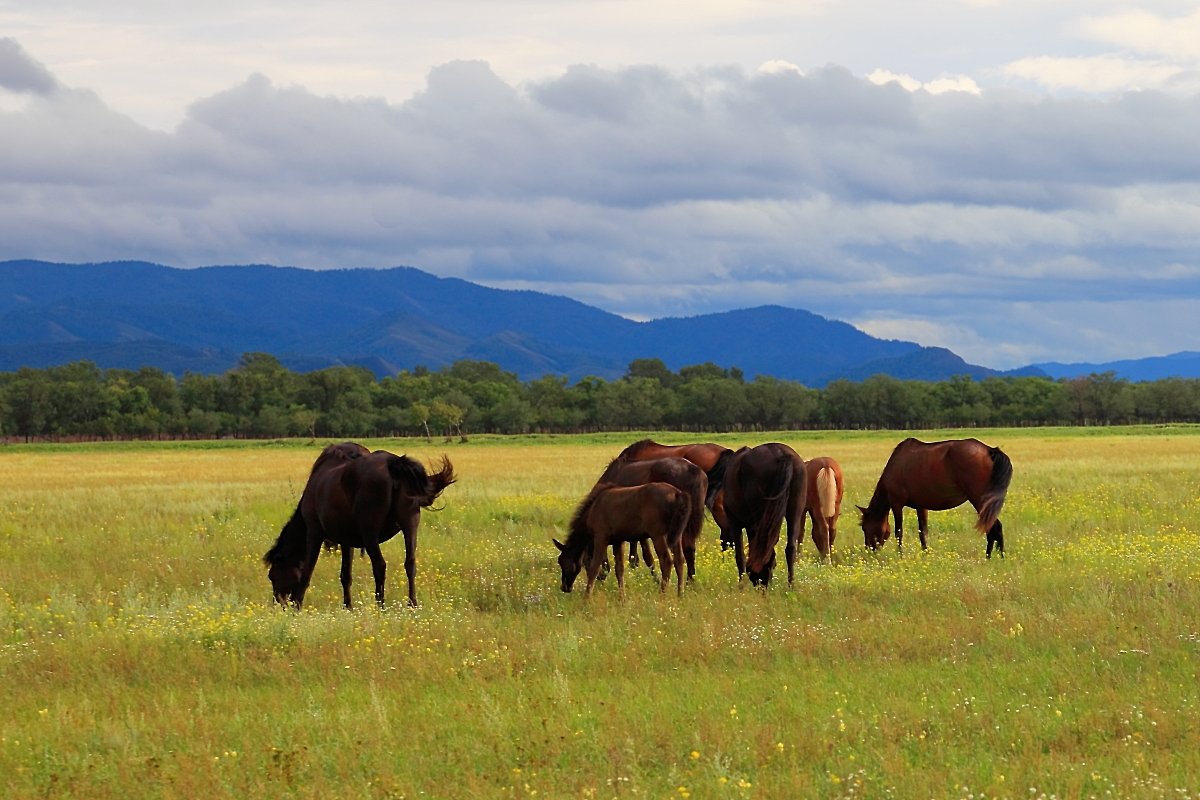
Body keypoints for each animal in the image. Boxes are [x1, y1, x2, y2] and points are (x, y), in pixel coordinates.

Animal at [262, 443, 453, 606]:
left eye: (272, 575)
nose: (278, 603)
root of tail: (393, 464)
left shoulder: (314, 533)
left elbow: (307, 571)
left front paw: (298, 604)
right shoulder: (346, 540)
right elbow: (345, 575)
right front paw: (348, 606)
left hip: (370, 533)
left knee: (380, 565)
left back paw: (380, 606)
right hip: (410, 525)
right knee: (410, 563)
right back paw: (412, 603)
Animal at [549, 479, 686, 597]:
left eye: (563, 561)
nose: (565, 587)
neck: (590, 514)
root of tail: (677, 494)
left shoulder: (601, 536)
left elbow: (594, 567)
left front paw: (587, 597)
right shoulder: (618, 540)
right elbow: (619, 569)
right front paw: (622, 598)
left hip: (658, 534)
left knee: (666, 561)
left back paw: (662, 594)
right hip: (676, 534)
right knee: (679, 560)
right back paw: (680, 594)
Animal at [715, 441, 811, 585]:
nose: (763, 585)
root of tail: (781, 454)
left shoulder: (734, 522)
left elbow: (740, 555)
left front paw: (741, 585)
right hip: (794, 512)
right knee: (790, 549)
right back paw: (791, 585)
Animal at [859, 438, 1017, 556]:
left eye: (865, 528)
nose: (869, 550)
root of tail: (990, 451)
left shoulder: (896, 503)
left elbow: (899, 532)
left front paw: (900, 555)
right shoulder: (921, 506)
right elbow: (923, 532)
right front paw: (925, 554)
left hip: (980, 500)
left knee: (993, 528)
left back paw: (990, 557)